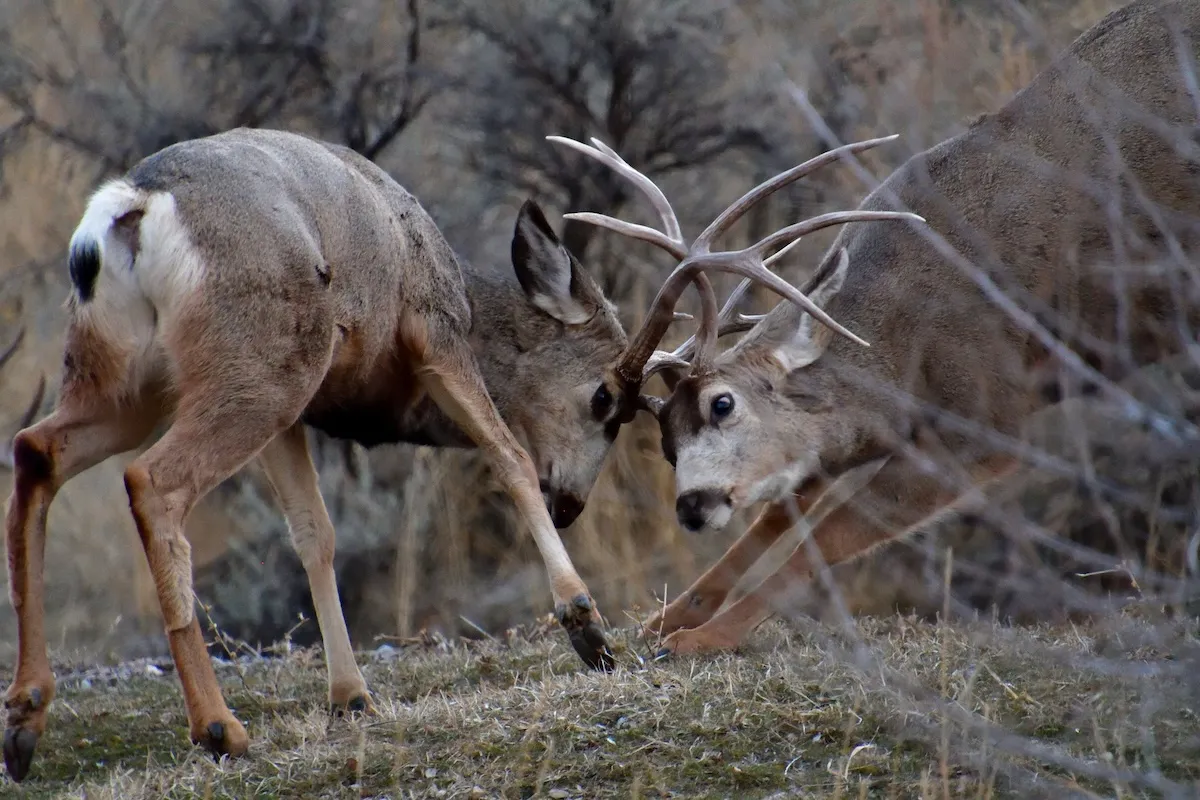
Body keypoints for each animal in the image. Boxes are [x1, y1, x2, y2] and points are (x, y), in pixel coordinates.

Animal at [0, 124, 891, 783]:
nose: (573, 502)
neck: (456, 280)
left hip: (144, 377)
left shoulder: (303, 410)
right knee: (153, 482)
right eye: (606, 399)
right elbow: (505, 452)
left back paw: (26, 719)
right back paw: (219, 727)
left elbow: (315, 535)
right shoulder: (429, 333)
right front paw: (586, 626)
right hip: (255, 360)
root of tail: (131, 208)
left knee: (36, 449)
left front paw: (352, 697)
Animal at [558, 0, 1200, 657]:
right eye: (664, 441)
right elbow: (777, 517)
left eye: (722, 404)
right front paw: (664, 621)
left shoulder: (986, 416)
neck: (900, 338)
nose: (690, 506)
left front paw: (700, 639)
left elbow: (824, 540)